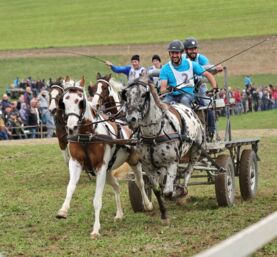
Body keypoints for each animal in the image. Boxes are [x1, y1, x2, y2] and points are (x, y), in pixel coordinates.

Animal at [55, 77, 152, 238]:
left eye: (80, 101)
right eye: (64, 101)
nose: (71, 127)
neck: (87, 136)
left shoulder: (100, 167)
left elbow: (97, 200)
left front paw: (95, 229)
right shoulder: (76, 163)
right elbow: (70, 187)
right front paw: (63, 210)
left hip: (133, 162)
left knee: (140, 183)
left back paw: (148, 204)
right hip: (108, 172)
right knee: (117, 186)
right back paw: (119, 214)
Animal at [122, 77, 204, 220]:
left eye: (143, 95)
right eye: (126, 96)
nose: (131, 119)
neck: (153, 134)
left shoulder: (173, 162)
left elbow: (168, 192)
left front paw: (176, 193)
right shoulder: (148, 166)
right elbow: (157, 190)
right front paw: (164, 213)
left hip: (196, 149)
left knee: (189, 169)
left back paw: (183, 189)